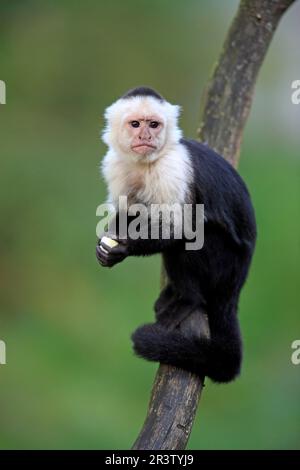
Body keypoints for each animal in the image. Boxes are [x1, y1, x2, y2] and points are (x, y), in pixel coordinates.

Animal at [96, 86, 255, 384]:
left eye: (154, 125)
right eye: (135, 124)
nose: (145, 136)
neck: (146, 164)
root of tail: (237, 283)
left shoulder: (172, 169)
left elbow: (181, 228)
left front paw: (124, 247)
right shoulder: (115, 165)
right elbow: (127, 212)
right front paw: (105, 248)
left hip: (225, 265)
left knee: (195, 237)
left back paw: (188, 299)